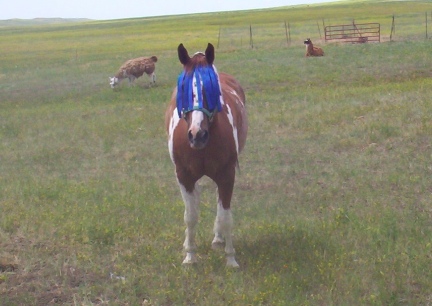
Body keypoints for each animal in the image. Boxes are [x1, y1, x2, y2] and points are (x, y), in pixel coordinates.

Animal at [165, 43, 248, 268]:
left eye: (210, 89)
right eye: (183, 88)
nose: (197, 135)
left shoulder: (227, 175)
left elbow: (226, 215)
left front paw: (230, 258)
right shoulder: (183, 176)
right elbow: (190, 215)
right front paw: (190, 256)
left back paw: (218, 239)